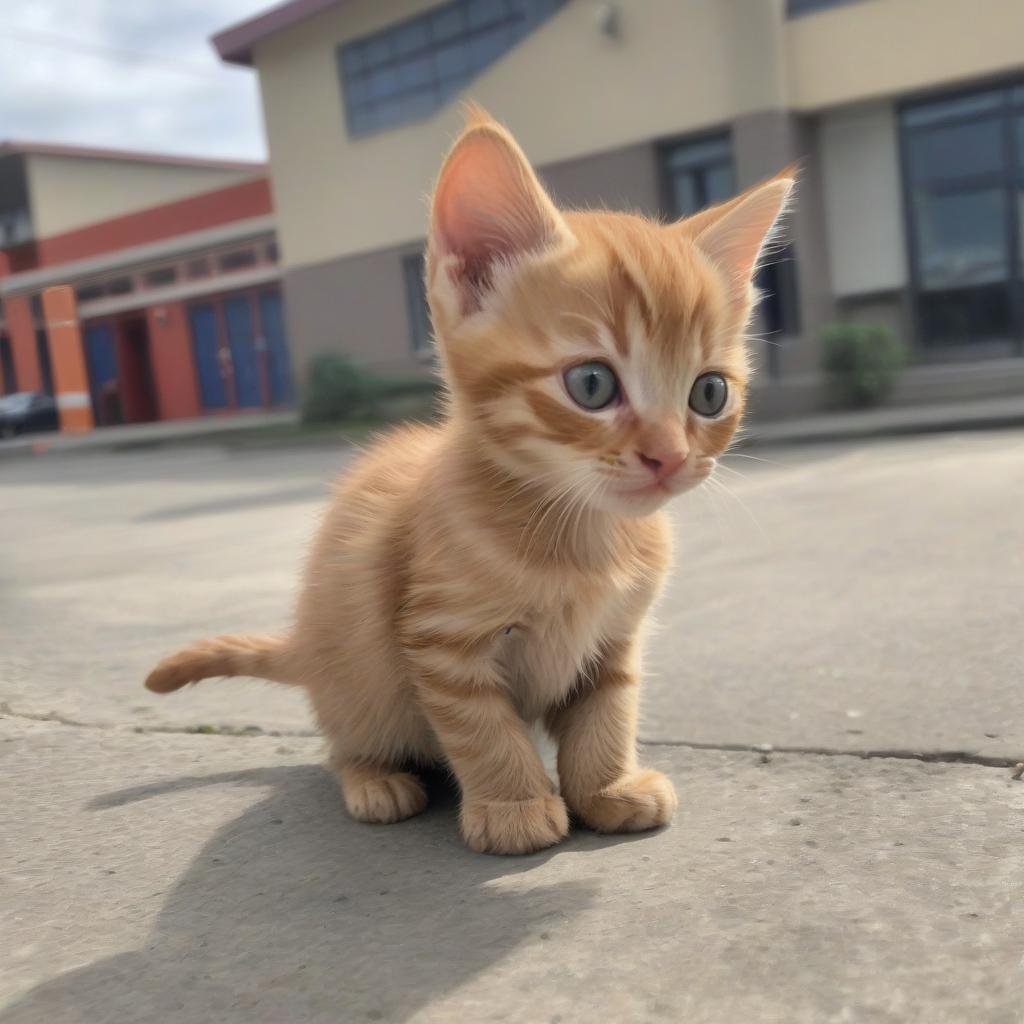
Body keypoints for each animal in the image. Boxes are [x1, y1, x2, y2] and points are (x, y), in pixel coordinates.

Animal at [148, 108, 790, 856]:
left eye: (710, 394)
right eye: (592, 384)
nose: (669, 456)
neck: (579, 535)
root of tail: (304, 645)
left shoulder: (616, 638)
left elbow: (609, 710)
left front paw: (606, 787)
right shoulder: (441, 641)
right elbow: (483, 728)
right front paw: (515, 804)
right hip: (352, 670)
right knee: (342, 738)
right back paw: (374, 778)